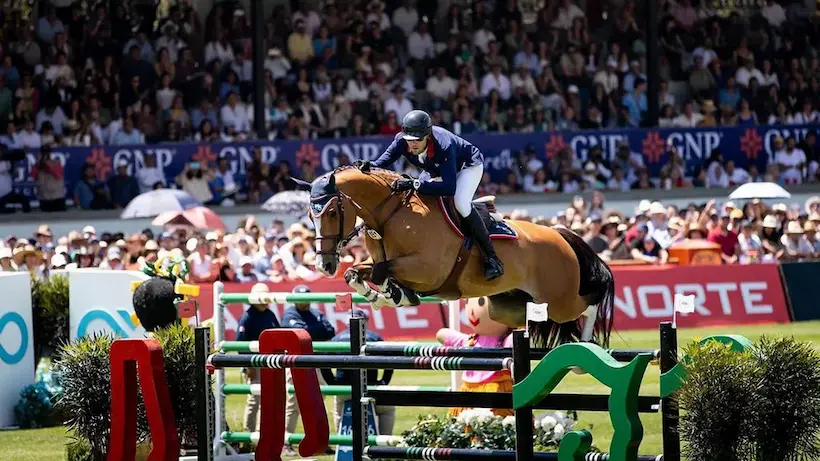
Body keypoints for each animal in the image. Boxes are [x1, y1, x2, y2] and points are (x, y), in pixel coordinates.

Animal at [294, 164, 616, 346]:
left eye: (332, 212)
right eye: (310, 215)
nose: (324, 265)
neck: (391, 214)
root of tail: (560, 234)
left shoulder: (427, 269)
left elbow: (383, 271)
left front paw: (394, 295)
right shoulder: (380, 261)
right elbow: (359, 272)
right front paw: (383, 296)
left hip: (559, 299)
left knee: (588, 303)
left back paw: (586, 345)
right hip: (512, 305)